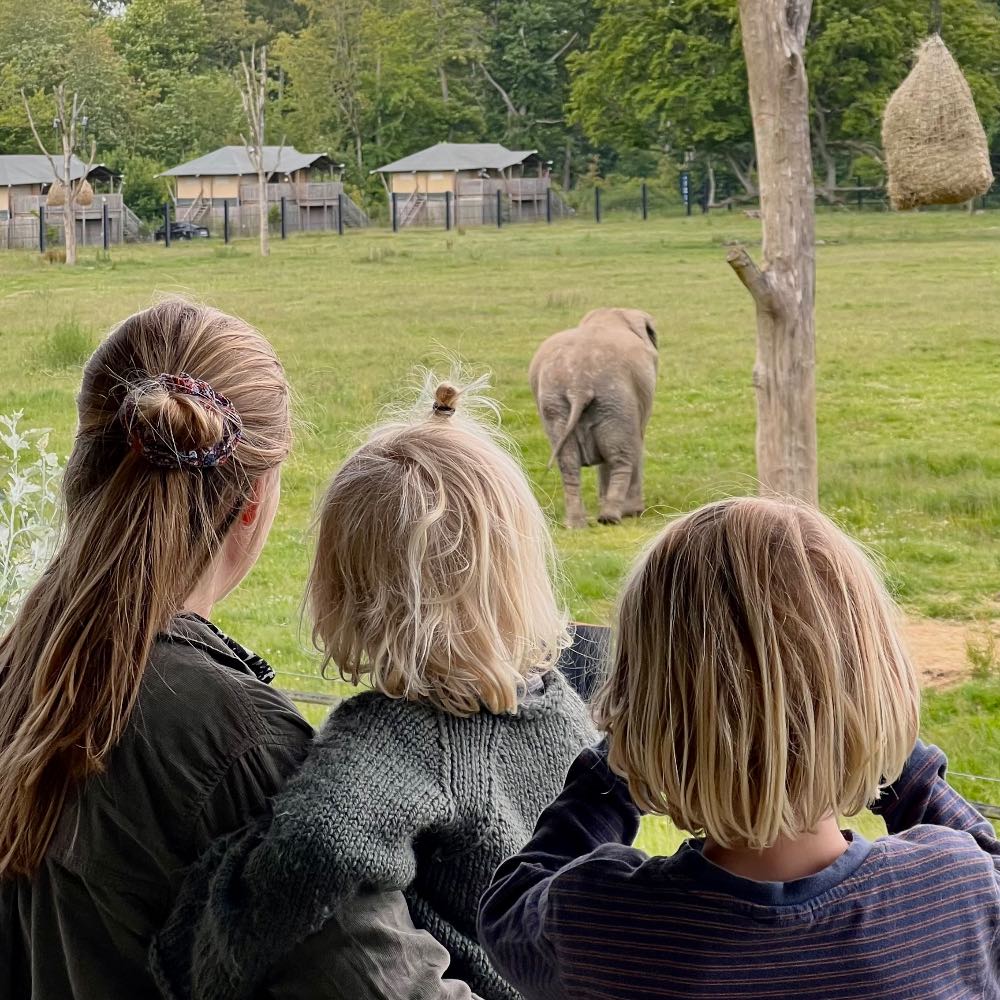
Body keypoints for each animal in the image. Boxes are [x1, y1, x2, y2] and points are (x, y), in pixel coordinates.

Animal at [528, 308, 660, 532]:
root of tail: (578, 385)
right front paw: (633, 512)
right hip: (616, 399)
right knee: (621, 457)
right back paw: (611, 518)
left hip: (556, 405)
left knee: (568, 462)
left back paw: (575, 524)